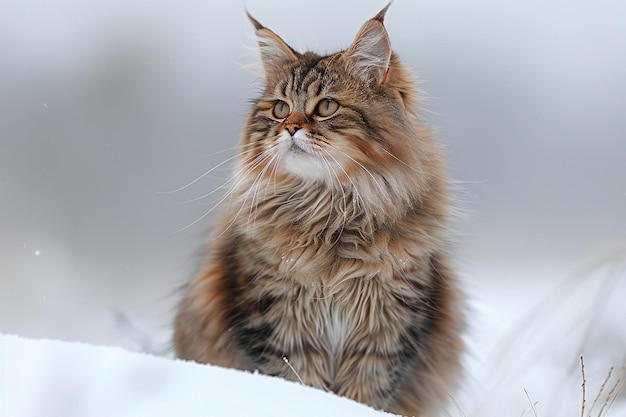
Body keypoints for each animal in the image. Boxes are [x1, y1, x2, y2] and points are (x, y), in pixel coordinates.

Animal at [173, 4, 460, 416]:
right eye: (280, 109)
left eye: (326, 106)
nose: (290, 128)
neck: (331, 214)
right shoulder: (280, 325)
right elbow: (300, 384)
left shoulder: (387, 332)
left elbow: (365, 396)